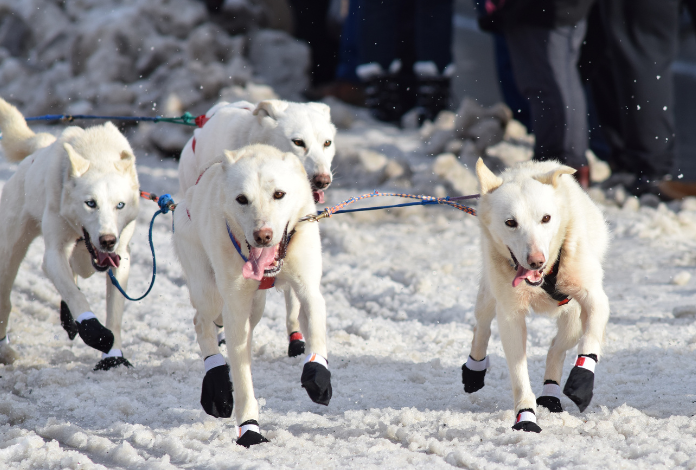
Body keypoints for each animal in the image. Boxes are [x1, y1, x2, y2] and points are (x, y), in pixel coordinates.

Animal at [0, 98, 140, 370]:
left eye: (120, 205)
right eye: (90, 203)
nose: (108, 241)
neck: (97, 152)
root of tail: (39, 147)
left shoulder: (121, 259)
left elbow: (114, 314)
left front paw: (113, 357)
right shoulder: (53, 255)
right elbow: (77, 297)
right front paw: (93, 330)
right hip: (10, 252)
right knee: (5, 299)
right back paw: (4, 349)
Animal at [171, 143, 328, 448]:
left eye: (279, 194)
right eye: (242, 199)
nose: (262, 235)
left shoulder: (308, 289)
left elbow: (316, 331)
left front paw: (318, 374)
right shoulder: (234, 307)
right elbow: (243, 380)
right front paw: (249, 428)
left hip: (254, 308)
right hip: (211, 294)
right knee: (203, 323)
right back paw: (217, 379)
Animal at [462, 159, 608, 434]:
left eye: (546, 218)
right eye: (510, 222)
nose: (536, 260)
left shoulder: (595, 297)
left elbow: (591, 337)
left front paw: (582, 380)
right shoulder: (510, 317)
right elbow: (519, 374)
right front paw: (526, 416)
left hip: (572, 319)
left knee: (556, 349)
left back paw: (551, 394)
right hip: (488, 296)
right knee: (482, 327)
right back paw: (474, 369)